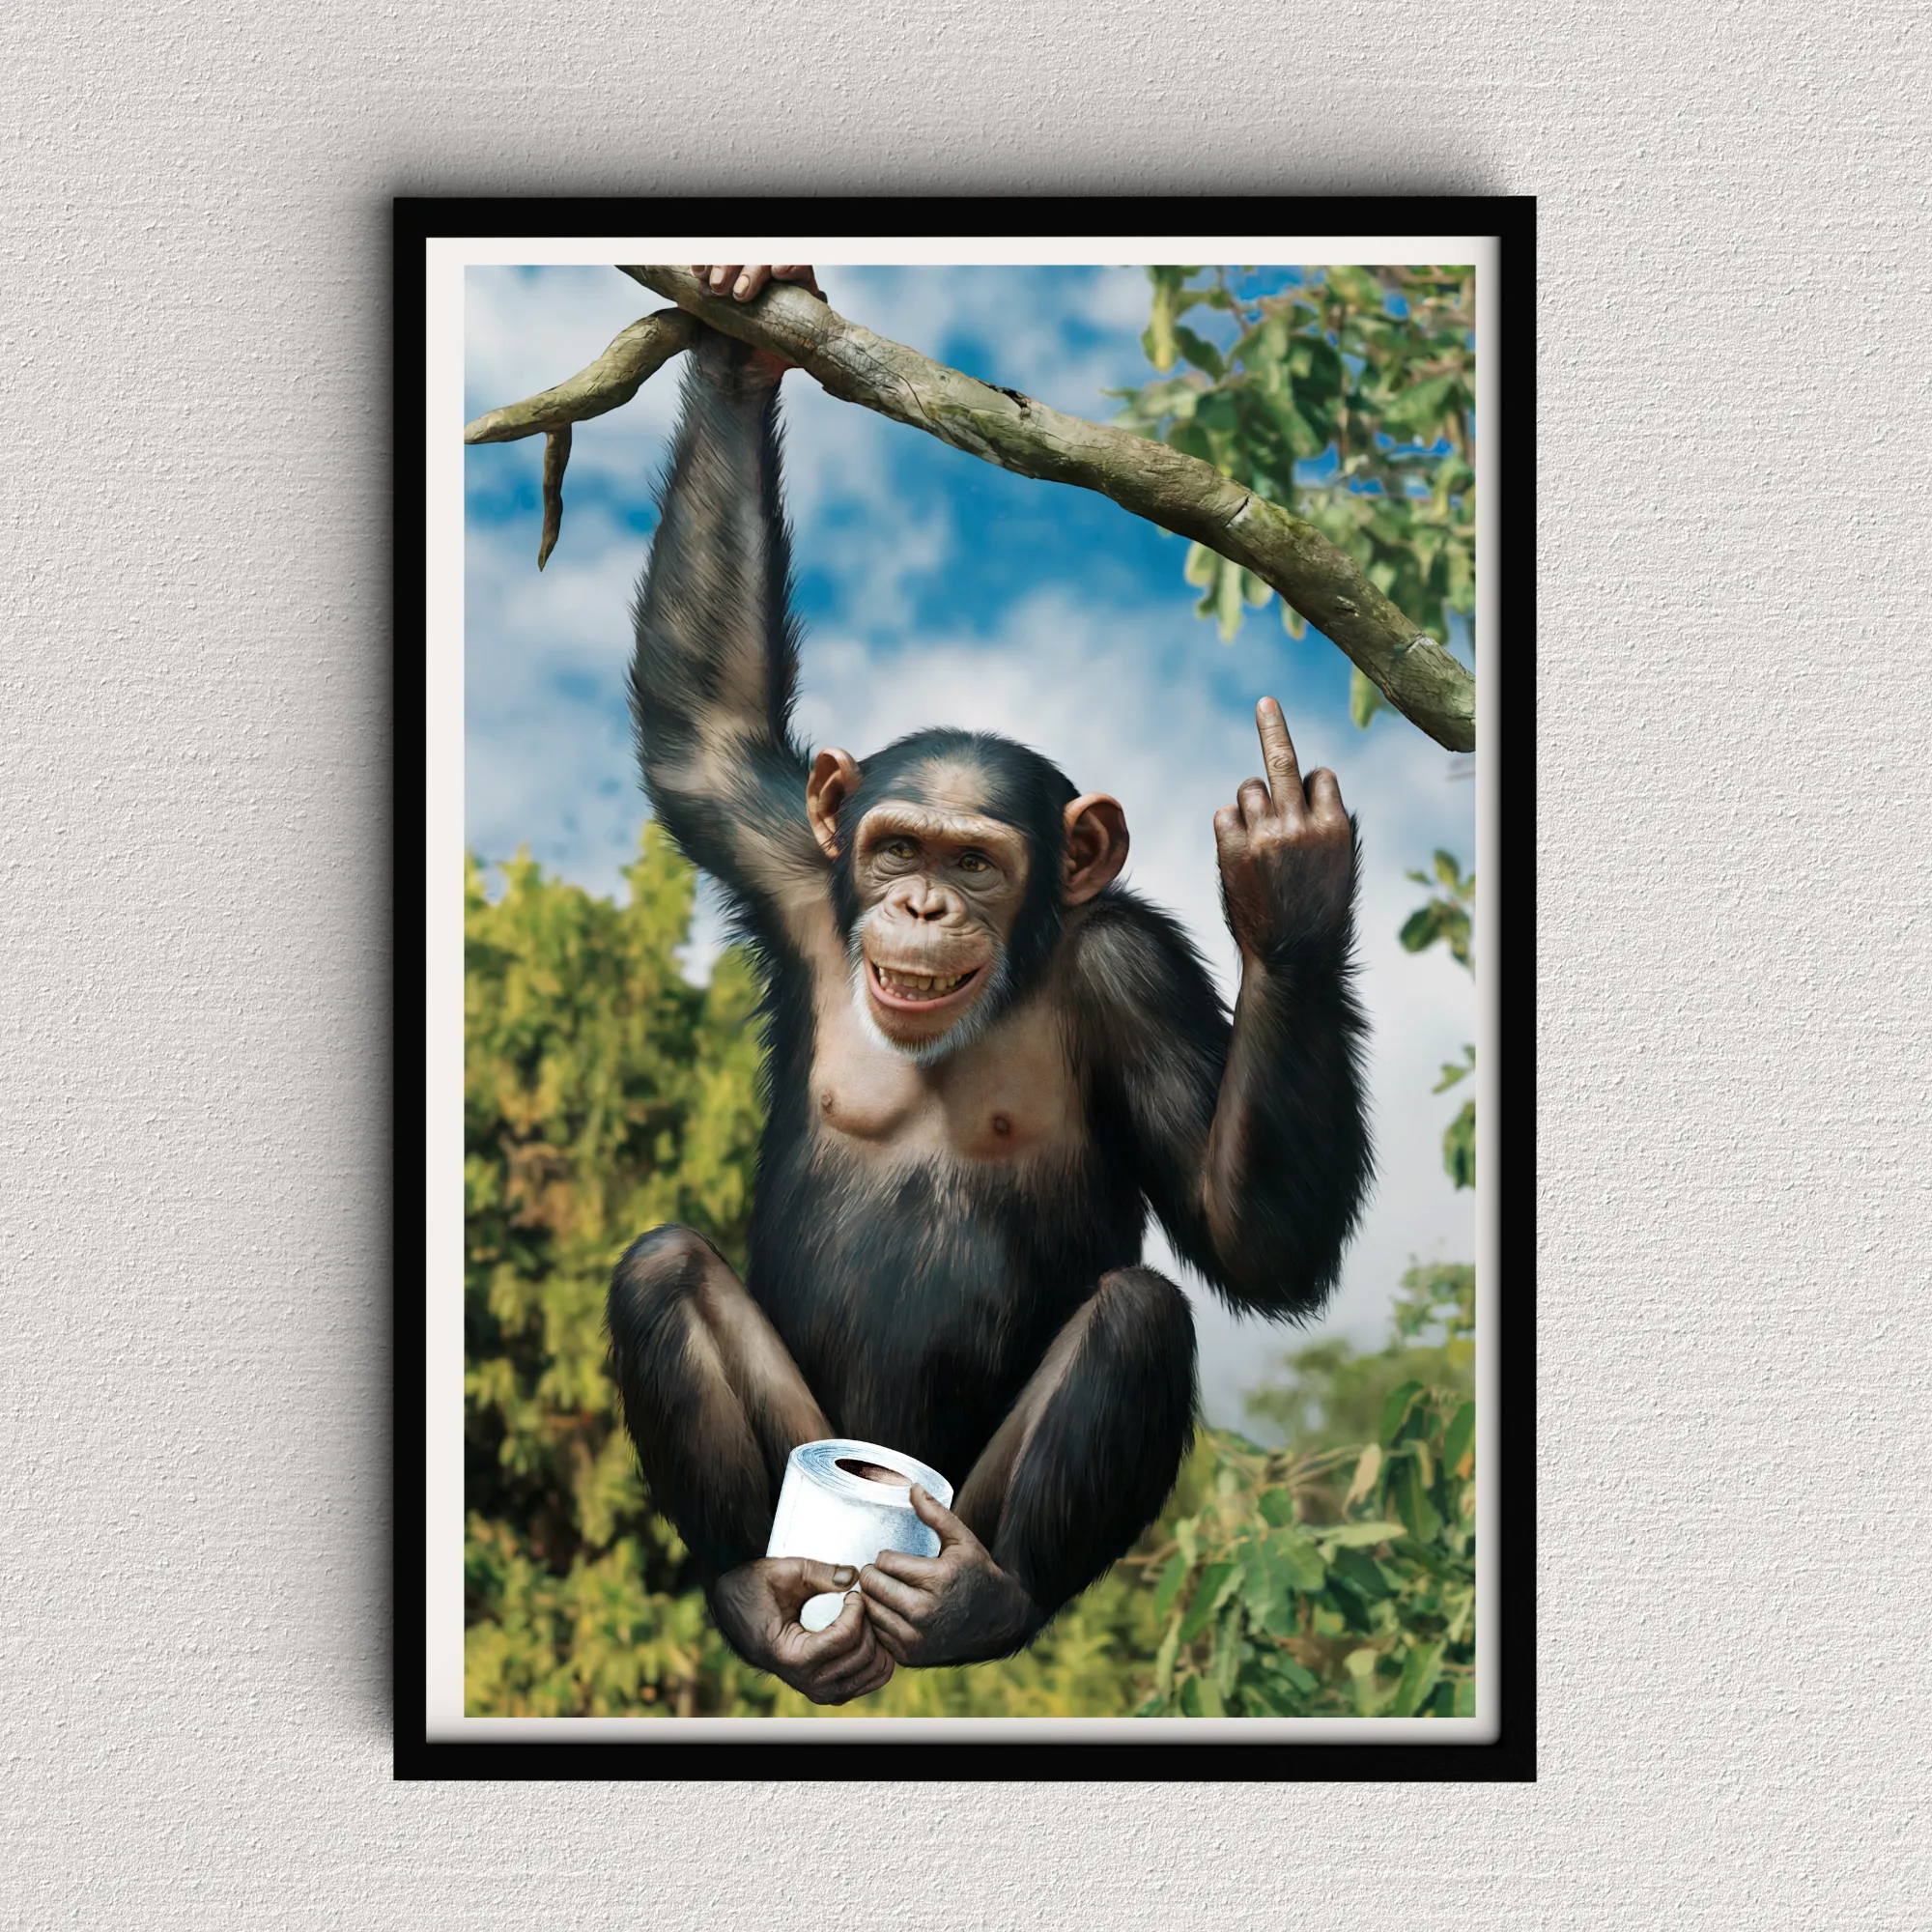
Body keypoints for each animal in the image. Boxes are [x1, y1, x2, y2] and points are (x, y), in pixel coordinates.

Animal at [606, 265, 1371, 1705]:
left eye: (975, 862)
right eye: (898, 849)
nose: (917, 904)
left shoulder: (1136, 972)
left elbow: (1252, 1240)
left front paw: (1289, 892)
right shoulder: (789, 861)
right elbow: (705, 732)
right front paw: (741, 338)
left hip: (943, 1507)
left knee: (1137, 1319)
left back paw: (981, 1604)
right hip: (811, 1470)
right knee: (663, 1269)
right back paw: (757, 1599)